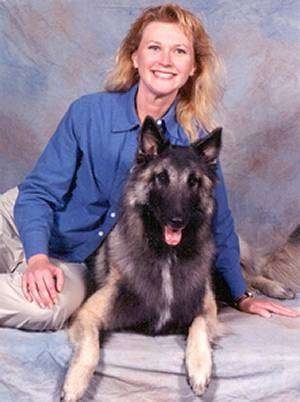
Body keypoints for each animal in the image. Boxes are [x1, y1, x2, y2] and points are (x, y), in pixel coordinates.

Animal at [61, 115, 221, 398]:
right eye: (161, 177)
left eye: (193, 181)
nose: (177, 221)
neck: (166, 255)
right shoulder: (87, 315)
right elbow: (90, 349)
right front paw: (75, 384)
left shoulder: (207, 312)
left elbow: (199, 326)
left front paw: (200, 368)